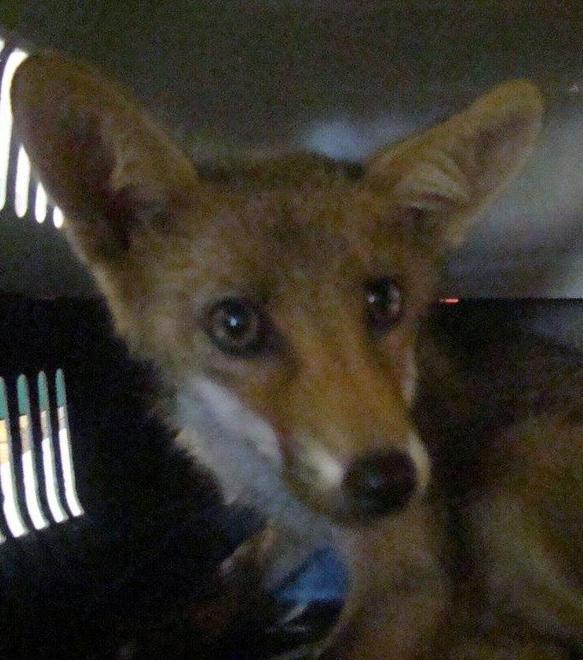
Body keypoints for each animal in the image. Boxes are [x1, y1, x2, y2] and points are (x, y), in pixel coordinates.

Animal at [10, 53, 583, 658]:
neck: (266, 467)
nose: (390, 483)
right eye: (234, 324)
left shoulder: (413, 580)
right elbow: (234, 574)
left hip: (510, 479)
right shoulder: (288, 526)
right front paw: (169, 630)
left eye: (384, 300)